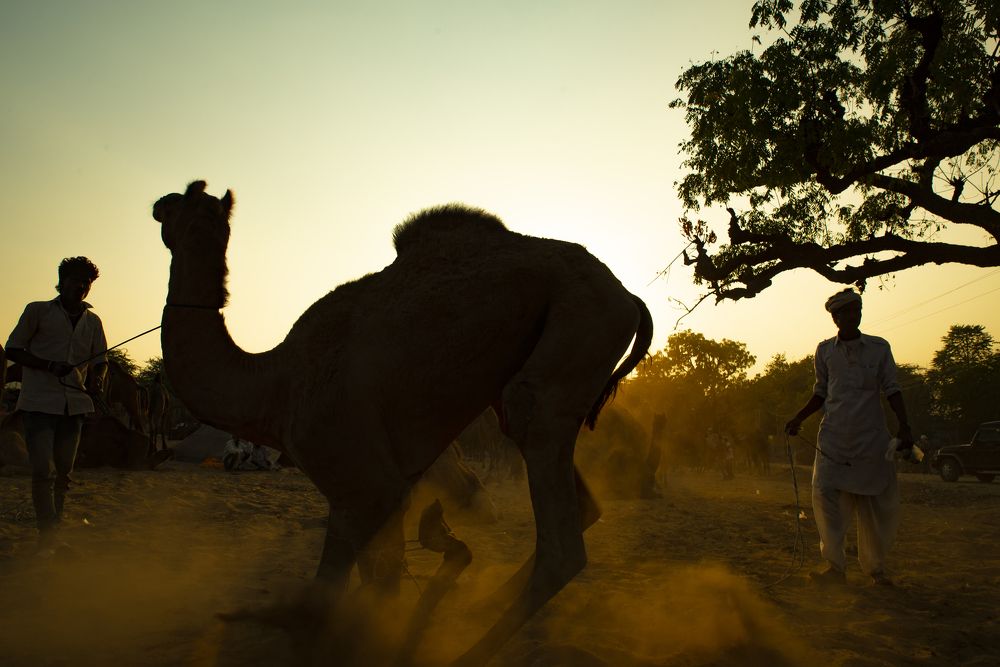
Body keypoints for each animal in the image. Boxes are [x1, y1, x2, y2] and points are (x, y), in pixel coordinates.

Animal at [151, 181, 653, 665]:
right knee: (578, 500)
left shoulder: (365, 484)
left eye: (186, 199)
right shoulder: (372, 493)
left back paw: (468, 651)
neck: (273, 387)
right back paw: (478, 605)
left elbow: (342, 595)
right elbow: (362, 580)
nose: (159, 202)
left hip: (578, 328)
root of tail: (628, 297)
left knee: (560, 544)